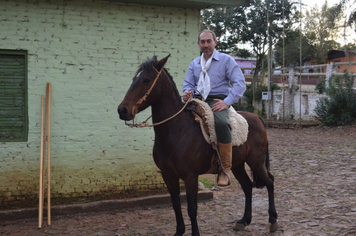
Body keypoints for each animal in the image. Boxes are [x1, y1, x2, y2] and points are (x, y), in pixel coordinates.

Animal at [117, 54, 278, 236]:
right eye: (134, 79)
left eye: (146, 79)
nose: (122, 110)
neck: (178, 131)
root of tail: (257, 118)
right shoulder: (168, 176)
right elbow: (176, 205)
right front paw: (179, 232)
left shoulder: (190, 177)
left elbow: (192, 208)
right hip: (238, 165)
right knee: (247, 186)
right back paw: (243, 221)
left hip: (256, 161)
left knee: (270, 182)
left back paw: (273, 221)